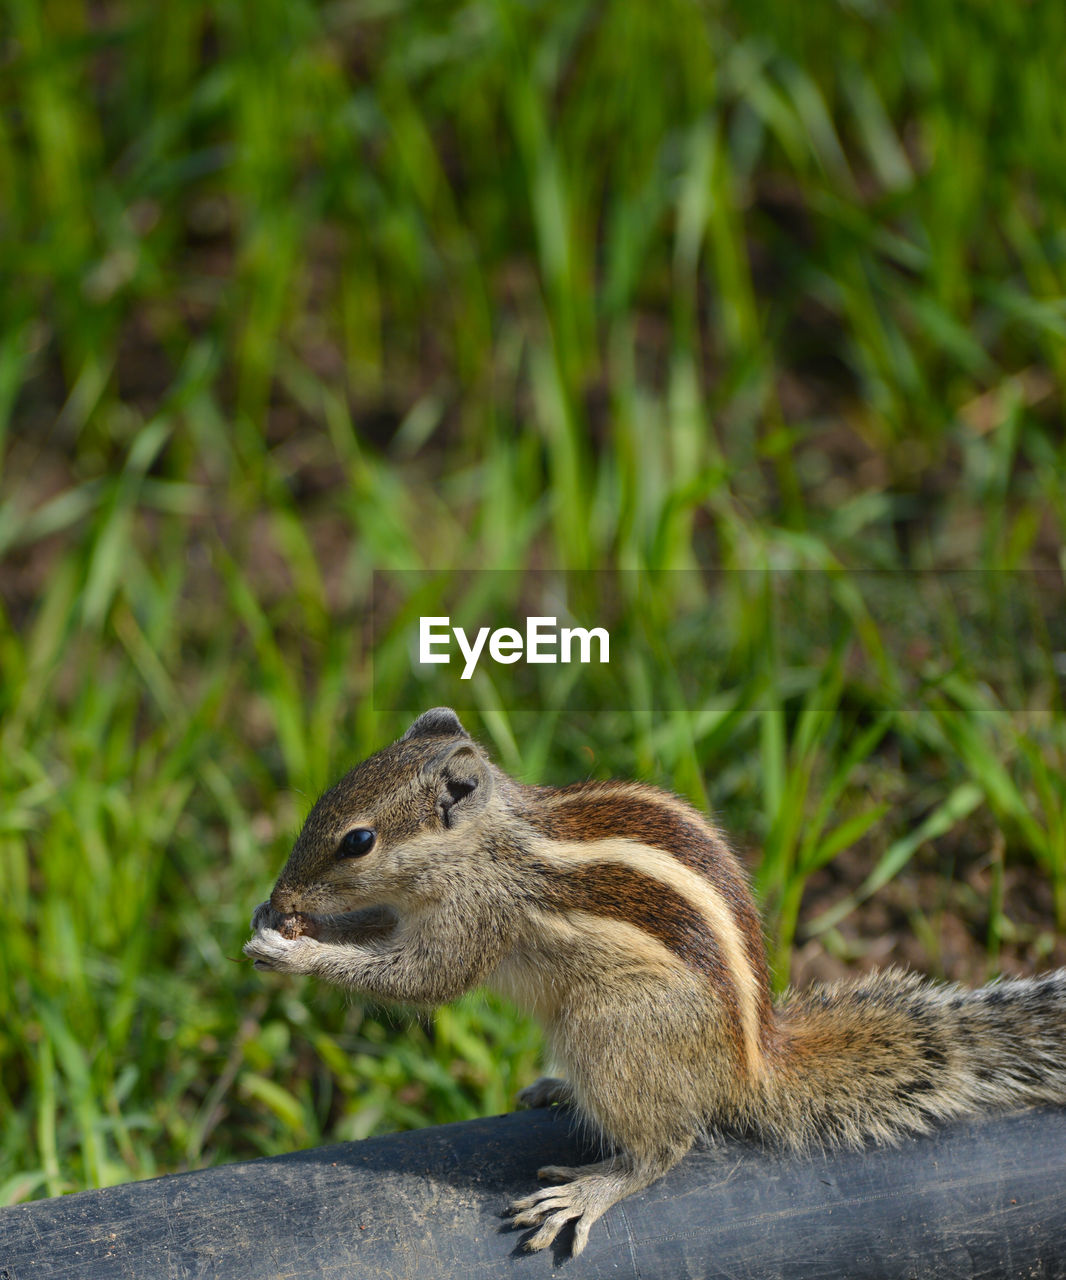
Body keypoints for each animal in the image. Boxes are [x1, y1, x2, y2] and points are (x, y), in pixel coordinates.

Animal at [243, 706, 1064, 1254]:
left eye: (358, 840)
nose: (282, 896)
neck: (491, 841)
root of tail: (750, 1064)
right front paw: (277, 921)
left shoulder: (477, 916)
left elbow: (420, 980)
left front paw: (293, 952)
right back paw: (559, 1089)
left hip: (615, 1028)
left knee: (668, 1146)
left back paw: (589, 1189)